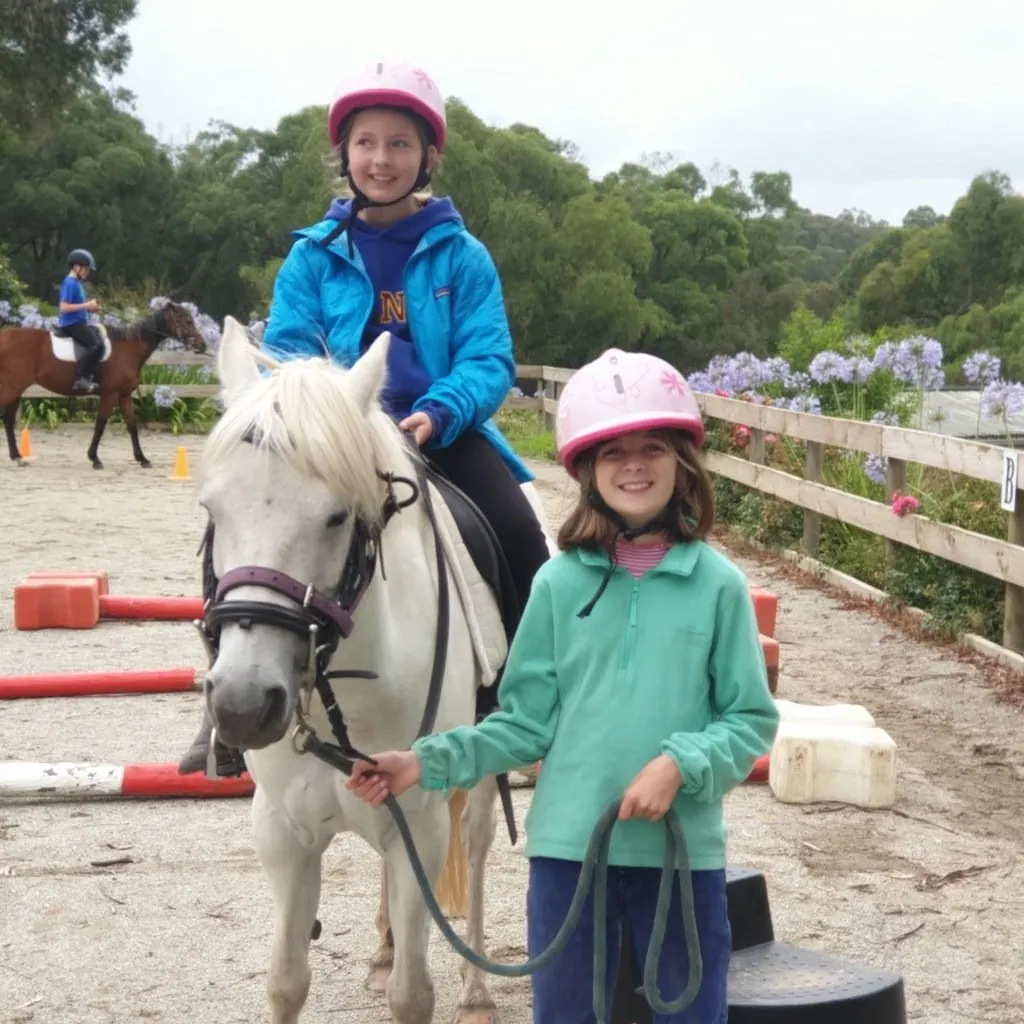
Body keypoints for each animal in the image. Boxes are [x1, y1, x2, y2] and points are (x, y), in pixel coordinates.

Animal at [0, 299, 209, 468]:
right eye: (186, 321)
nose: (202, 345)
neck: (128, 348)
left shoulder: (124, 395)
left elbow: (132, 425)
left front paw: (142, 459)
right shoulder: (110, 394)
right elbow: (100, 424)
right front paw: (94, 459)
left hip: (15, 391)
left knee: (8, 420)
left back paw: (17, 457)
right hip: (12, 388)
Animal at [196, 313, 557, 1024]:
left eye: (337, 516)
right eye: (211, 510)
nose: (244, 705)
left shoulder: (418, 823)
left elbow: (413, 994)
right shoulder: (283, 835)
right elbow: (286, 981)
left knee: (474, 847)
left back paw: (476, 989)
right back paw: (385, 949)